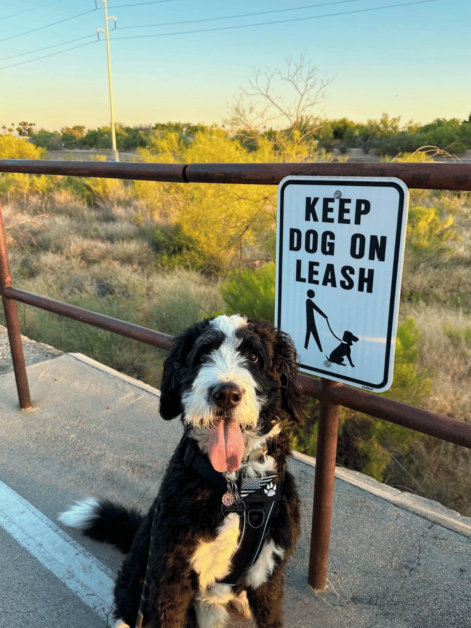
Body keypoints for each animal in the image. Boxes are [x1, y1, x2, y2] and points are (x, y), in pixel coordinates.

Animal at [58, 316, 306, 628]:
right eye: (202, 355)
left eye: (253, 356)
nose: (226, 394)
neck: (236, 489)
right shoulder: (170, 573)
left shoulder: (269, 571)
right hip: (140, 572)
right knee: (126, 603)